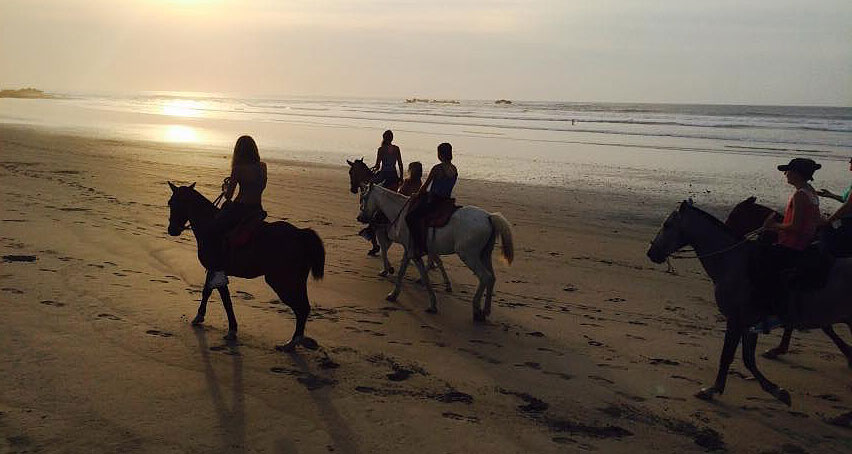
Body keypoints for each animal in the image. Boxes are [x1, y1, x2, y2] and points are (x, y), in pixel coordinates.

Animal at [166, 182, 322, 352]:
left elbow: (225, 300)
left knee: (301, 308)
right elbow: (207, 291)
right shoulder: (214, 270)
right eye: (170, 203)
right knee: (304, 307)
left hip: (282, 281)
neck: (208, 224)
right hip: (297, 280)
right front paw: (199, 316)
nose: (172, 230)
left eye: (178, 203)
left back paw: (292, 342)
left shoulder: (217, 269)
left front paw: (231, 330)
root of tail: (300, 234)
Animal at [358, 184, 516, 320]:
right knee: (492, 278)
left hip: (468, 255)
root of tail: (489, 217)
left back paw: (477, 310)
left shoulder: (412, 251)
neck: (401, 213)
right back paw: (486, 310)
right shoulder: (410, 251)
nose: (360, 217)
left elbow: (418, 275)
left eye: (364, 197)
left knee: (485, 277)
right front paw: (397, 295)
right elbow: (410, 273)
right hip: (485, 255)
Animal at [648, 200, 848, 406]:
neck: (732, 263)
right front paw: (778, 391)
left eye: (667, 225)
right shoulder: (748, 323)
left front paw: (713, 389)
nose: (651, 253)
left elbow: (727, 356)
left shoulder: (735, 321)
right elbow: (748, 359)